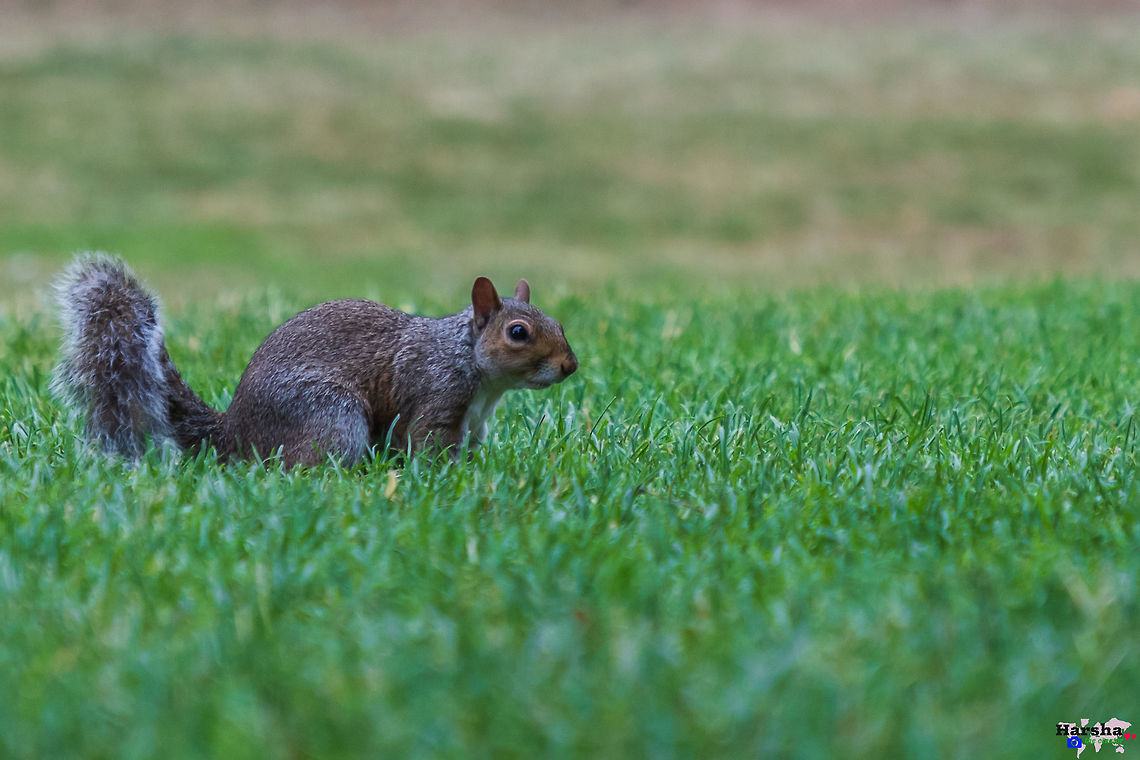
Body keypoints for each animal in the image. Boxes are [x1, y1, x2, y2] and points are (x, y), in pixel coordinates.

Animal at [51, 253, 578, 467]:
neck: (466, 361)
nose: (570, 366)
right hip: (330, 415)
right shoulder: (435, 398)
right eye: (518, 333)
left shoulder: (475, 422)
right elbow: (426, 444)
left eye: (559, 322)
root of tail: (234, 432)